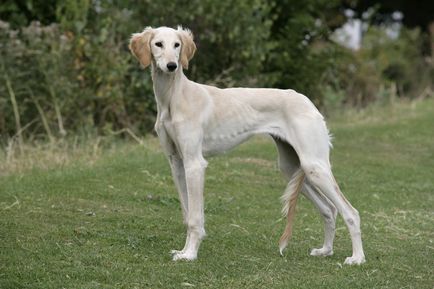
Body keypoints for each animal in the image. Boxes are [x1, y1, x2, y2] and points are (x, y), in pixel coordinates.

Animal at [130, 25, 366, 264]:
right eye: (158, 44)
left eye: (177, 45)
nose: (172, 66)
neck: (174, 97)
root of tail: (307, 101)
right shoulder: (177, 164)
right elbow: (188, 215)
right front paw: (184, 251)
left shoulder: (194, 164)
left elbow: (196, 217)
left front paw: (190, 254)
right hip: (292, 168)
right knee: (329, 210)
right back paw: (326, 250)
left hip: (314, 166)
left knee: (351, 212)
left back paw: (357, 258)